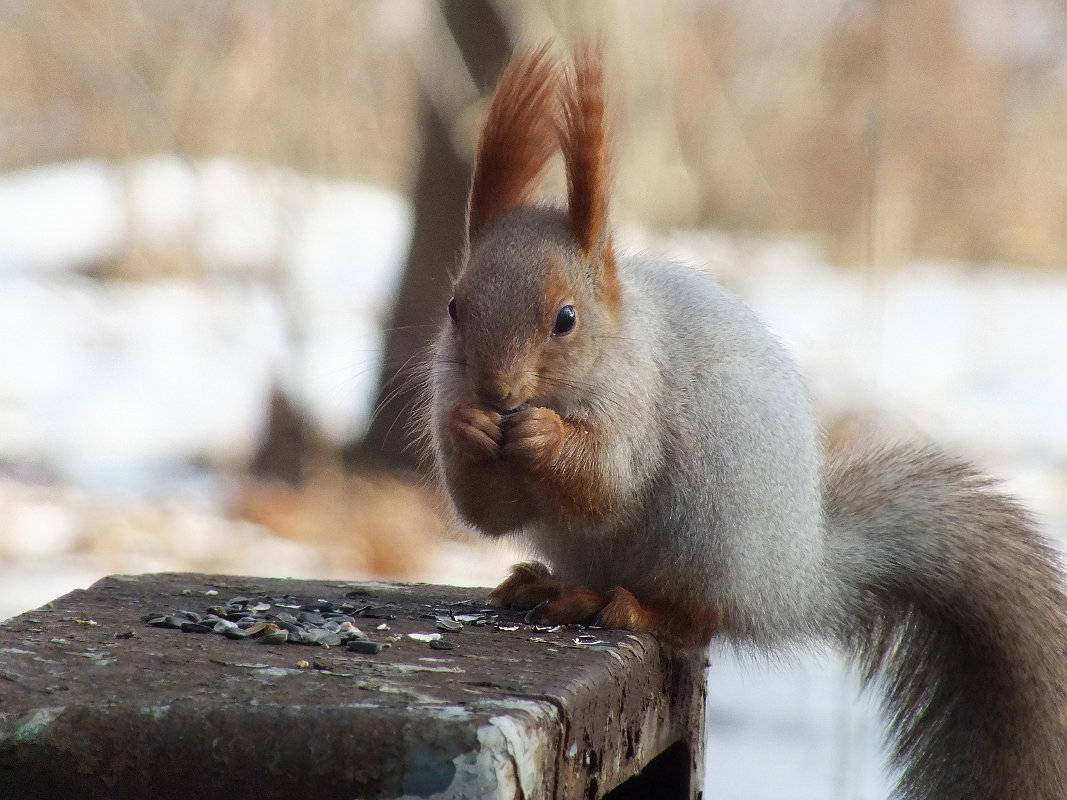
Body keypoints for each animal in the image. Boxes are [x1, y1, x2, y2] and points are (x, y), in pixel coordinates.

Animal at [422, 45, 1067, 800]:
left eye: (565, 319)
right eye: (454, 307)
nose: (496, 392)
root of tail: (793, 575)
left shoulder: (636, 405)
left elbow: (608, 490)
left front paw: (543, 436)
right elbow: (488, 509)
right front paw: (467, 430)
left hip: (711, 521)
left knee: (699, 618)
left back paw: (626, 605)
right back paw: (548, 585)